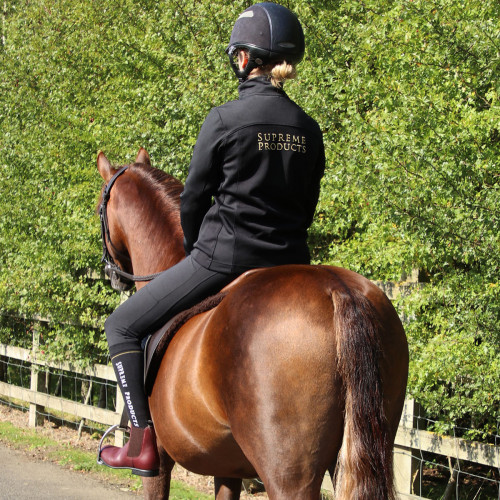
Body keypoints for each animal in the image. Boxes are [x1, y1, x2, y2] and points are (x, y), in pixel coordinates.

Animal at [95, 148, 408, 500]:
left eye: (99, 209)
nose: (112, 274)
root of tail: (337, 289)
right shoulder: (227, 468)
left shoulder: (158, 464)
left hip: (288, 475)